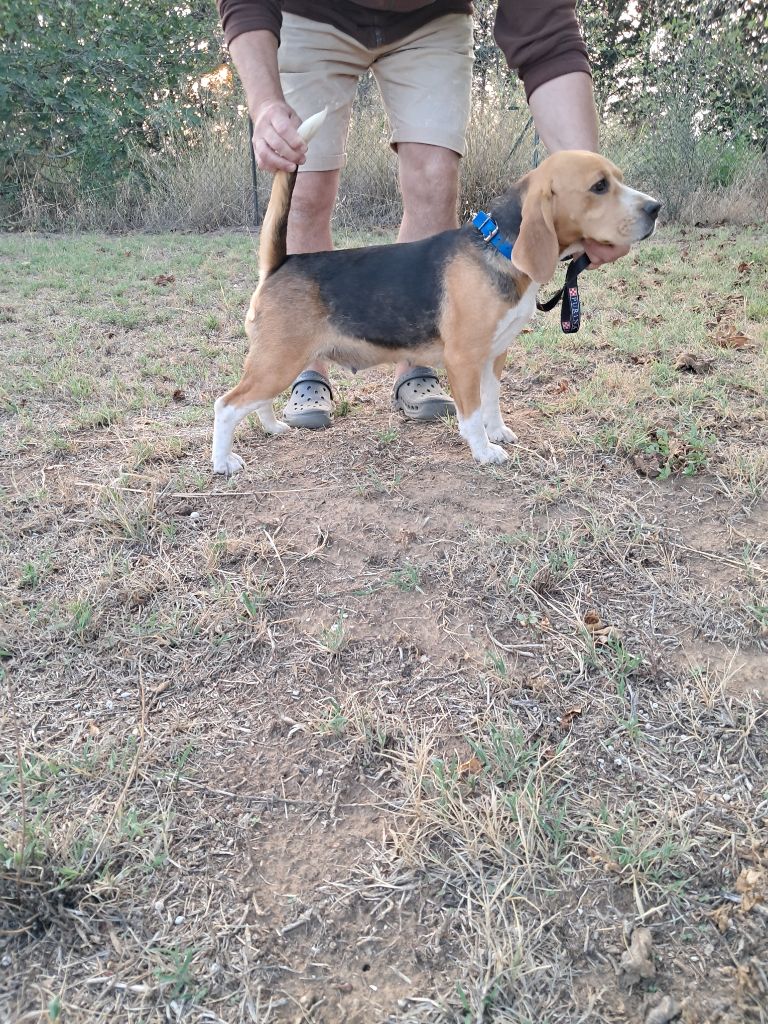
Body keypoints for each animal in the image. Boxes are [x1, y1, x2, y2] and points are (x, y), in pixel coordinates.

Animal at [211, 110, 663, 473]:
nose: (655, 208)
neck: (499, 247)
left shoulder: (494, 354)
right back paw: (223, 462)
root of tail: (281, 262)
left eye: (618, 180)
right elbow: (472, 414)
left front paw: (498, 432)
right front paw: (484, 452)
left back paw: (273, 428)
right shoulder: (463, 358)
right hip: (279, 361)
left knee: (256, 402)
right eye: (600, 187)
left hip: (277, 363)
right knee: (226, 406)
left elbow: (492, 400)